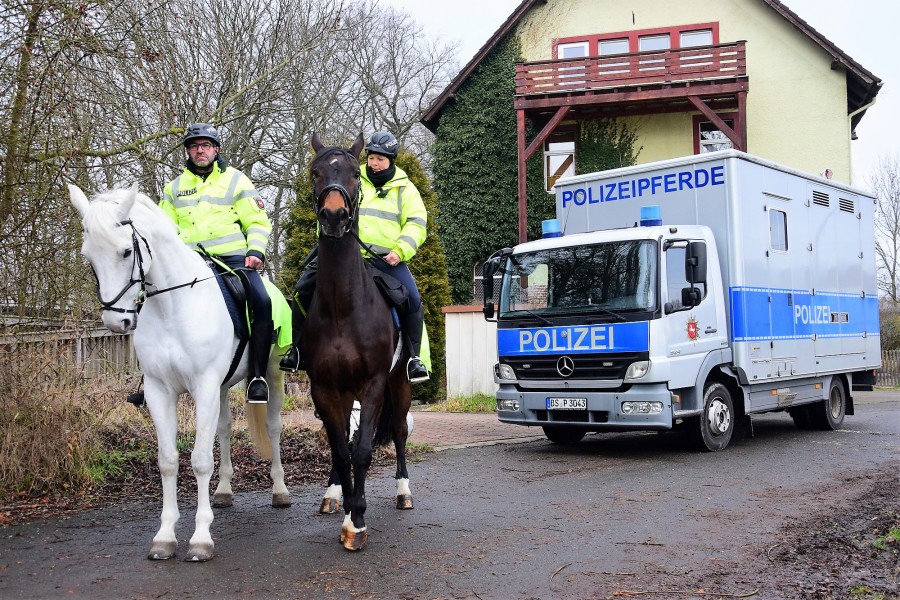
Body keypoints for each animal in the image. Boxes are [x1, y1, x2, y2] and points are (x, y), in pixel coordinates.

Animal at [72, 184, 294, 564]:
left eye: (126, 250)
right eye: (89, 256)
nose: (117, 321)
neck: (172, 306)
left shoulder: (203, 387)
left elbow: (201, 460)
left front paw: (201, 539)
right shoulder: (161, 392)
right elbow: (168, 461)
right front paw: (164, 537)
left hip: (272, 376)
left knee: (273, 427)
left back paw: (280, 490)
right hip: (221, 389)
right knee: (224, 429)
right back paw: (224, 491)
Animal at [302, 134, 414, 552]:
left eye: (353, 173)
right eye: (316, 172)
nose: (334, 216)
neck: (343, 307)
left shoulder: (374, 385)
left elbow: (364, 451)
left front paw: (358, 521)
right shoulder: (323, 388)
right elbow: (340, 450)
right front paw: (347, 508)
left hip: (400, 383)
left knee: (398, 431)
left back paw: (403, 492)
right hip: (342, 393)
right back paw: (333, 495)